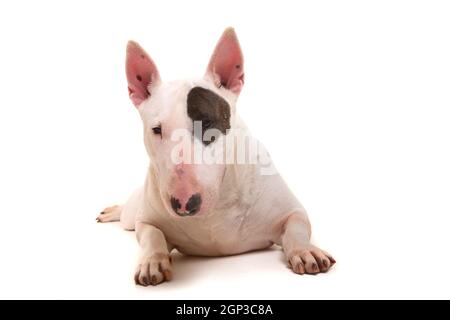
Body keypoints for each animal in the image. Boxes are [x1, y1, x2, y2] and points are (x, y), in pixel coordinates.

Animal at [96, 27, 336, 286]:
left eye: (208, 123)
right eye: (157, 129)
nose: (184, 203)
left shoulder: (290, 210)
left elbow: (297, 226)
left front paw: (306, 251)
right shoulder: (148, 219)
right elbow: (152, 235)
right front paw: (152, 261)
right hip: (134, 210)